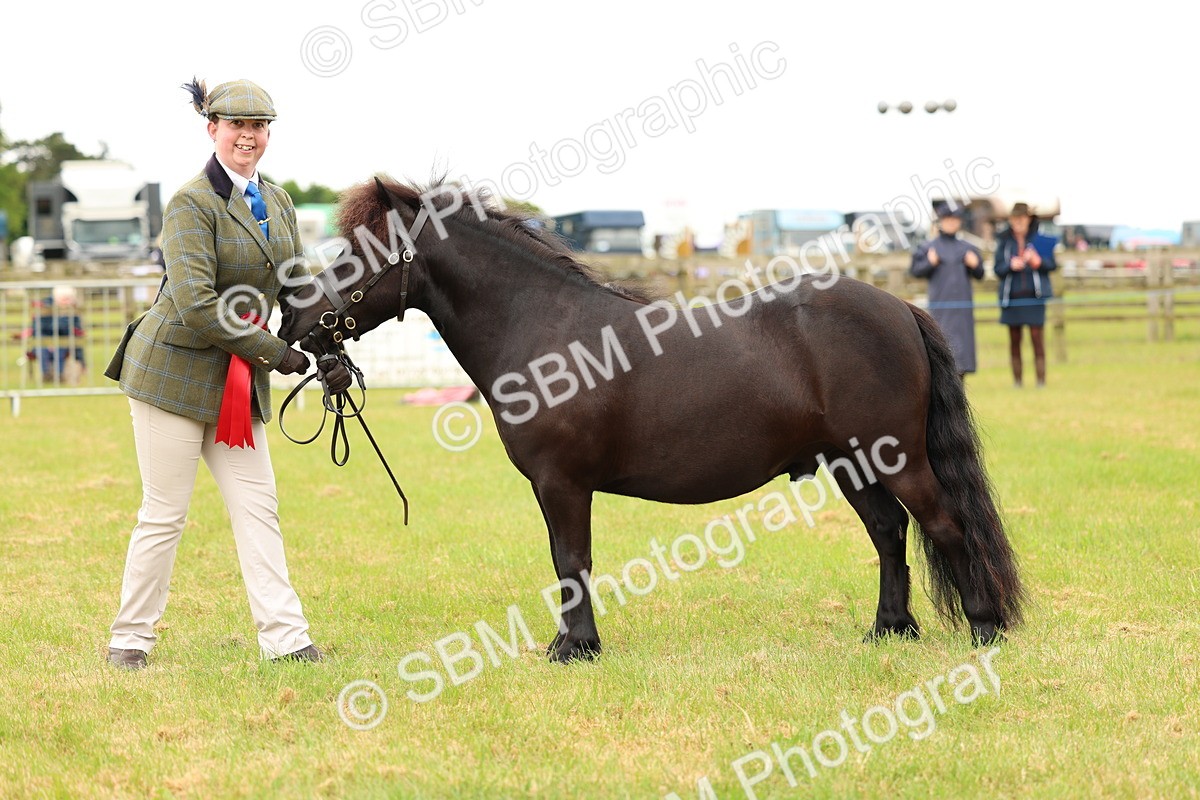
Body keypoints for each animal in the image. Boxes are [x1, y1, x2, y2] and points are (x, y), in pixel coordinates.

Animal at [277, 177, 1026, 662]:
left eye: (358, 251)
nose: (293, 317)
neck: (543, 328)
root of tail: (901, 307)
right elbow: (566, 561)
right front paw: (572, 641)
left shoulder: (562, 483)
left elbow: (571, 558)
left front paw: (574, 648)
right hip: (852, 464)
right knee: (889, 533)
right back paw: (888, 629)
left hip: (896, 456)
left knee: (943, 525)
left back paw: (984, 631)